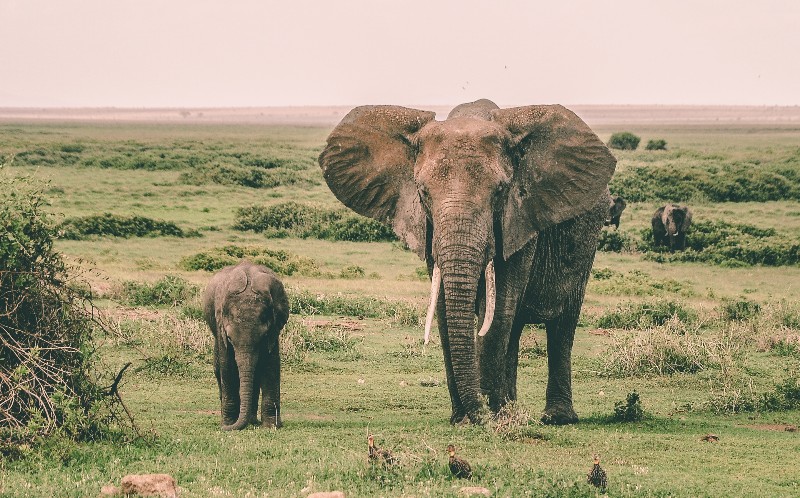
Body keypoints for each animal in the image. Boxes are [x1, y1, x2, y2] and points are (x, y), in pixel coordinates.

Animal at [202, 258, 290, 430]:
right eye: (229, 338)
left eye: (263, 337)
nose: (222, 428)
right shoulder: (221, 325)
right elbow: (227, 366)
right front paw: (228, 424)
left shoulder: (273, 328)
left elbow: (271, 365)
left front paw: (271, 426)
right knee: (218, 368)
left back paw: (252, 421)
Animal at [316, 98, 616, 424]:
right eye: (423, 192)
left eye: (500, 191)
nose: (476, 414)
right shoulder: (430, 231)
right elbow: (446, 310)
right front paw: (465, 418)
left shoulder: (519, 221)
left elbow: (498, 312)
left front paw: (486, 418)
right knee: (516, 328)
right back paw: (510, 410)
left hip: (586, 244)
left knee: (561, 324)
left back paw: (554, 418)